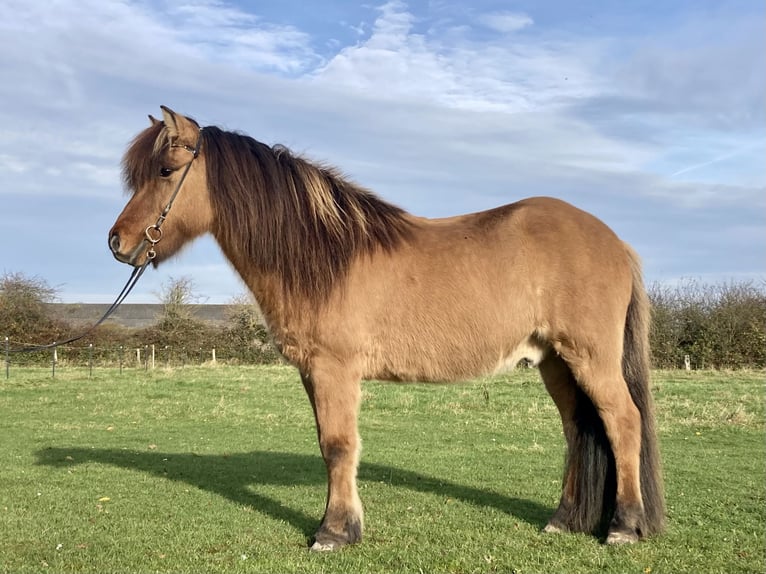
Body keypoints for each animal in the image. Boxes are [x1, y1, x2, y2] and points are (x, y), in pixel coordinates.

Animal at [109, 106, 665, 551]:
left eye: (165, 170)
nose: (118, 242)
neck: (324, 256)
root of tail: (615, 242)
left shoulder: (334, 370)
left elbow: (338, 445)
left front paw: (333, 532)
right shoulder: (314, 373)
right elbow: (330, 443)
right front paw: (345, 525)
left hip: (589, 358)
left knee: (623, 422)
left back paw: (624, 526)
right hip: (555, 363)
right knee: (578, 430)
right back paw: (564, 520)